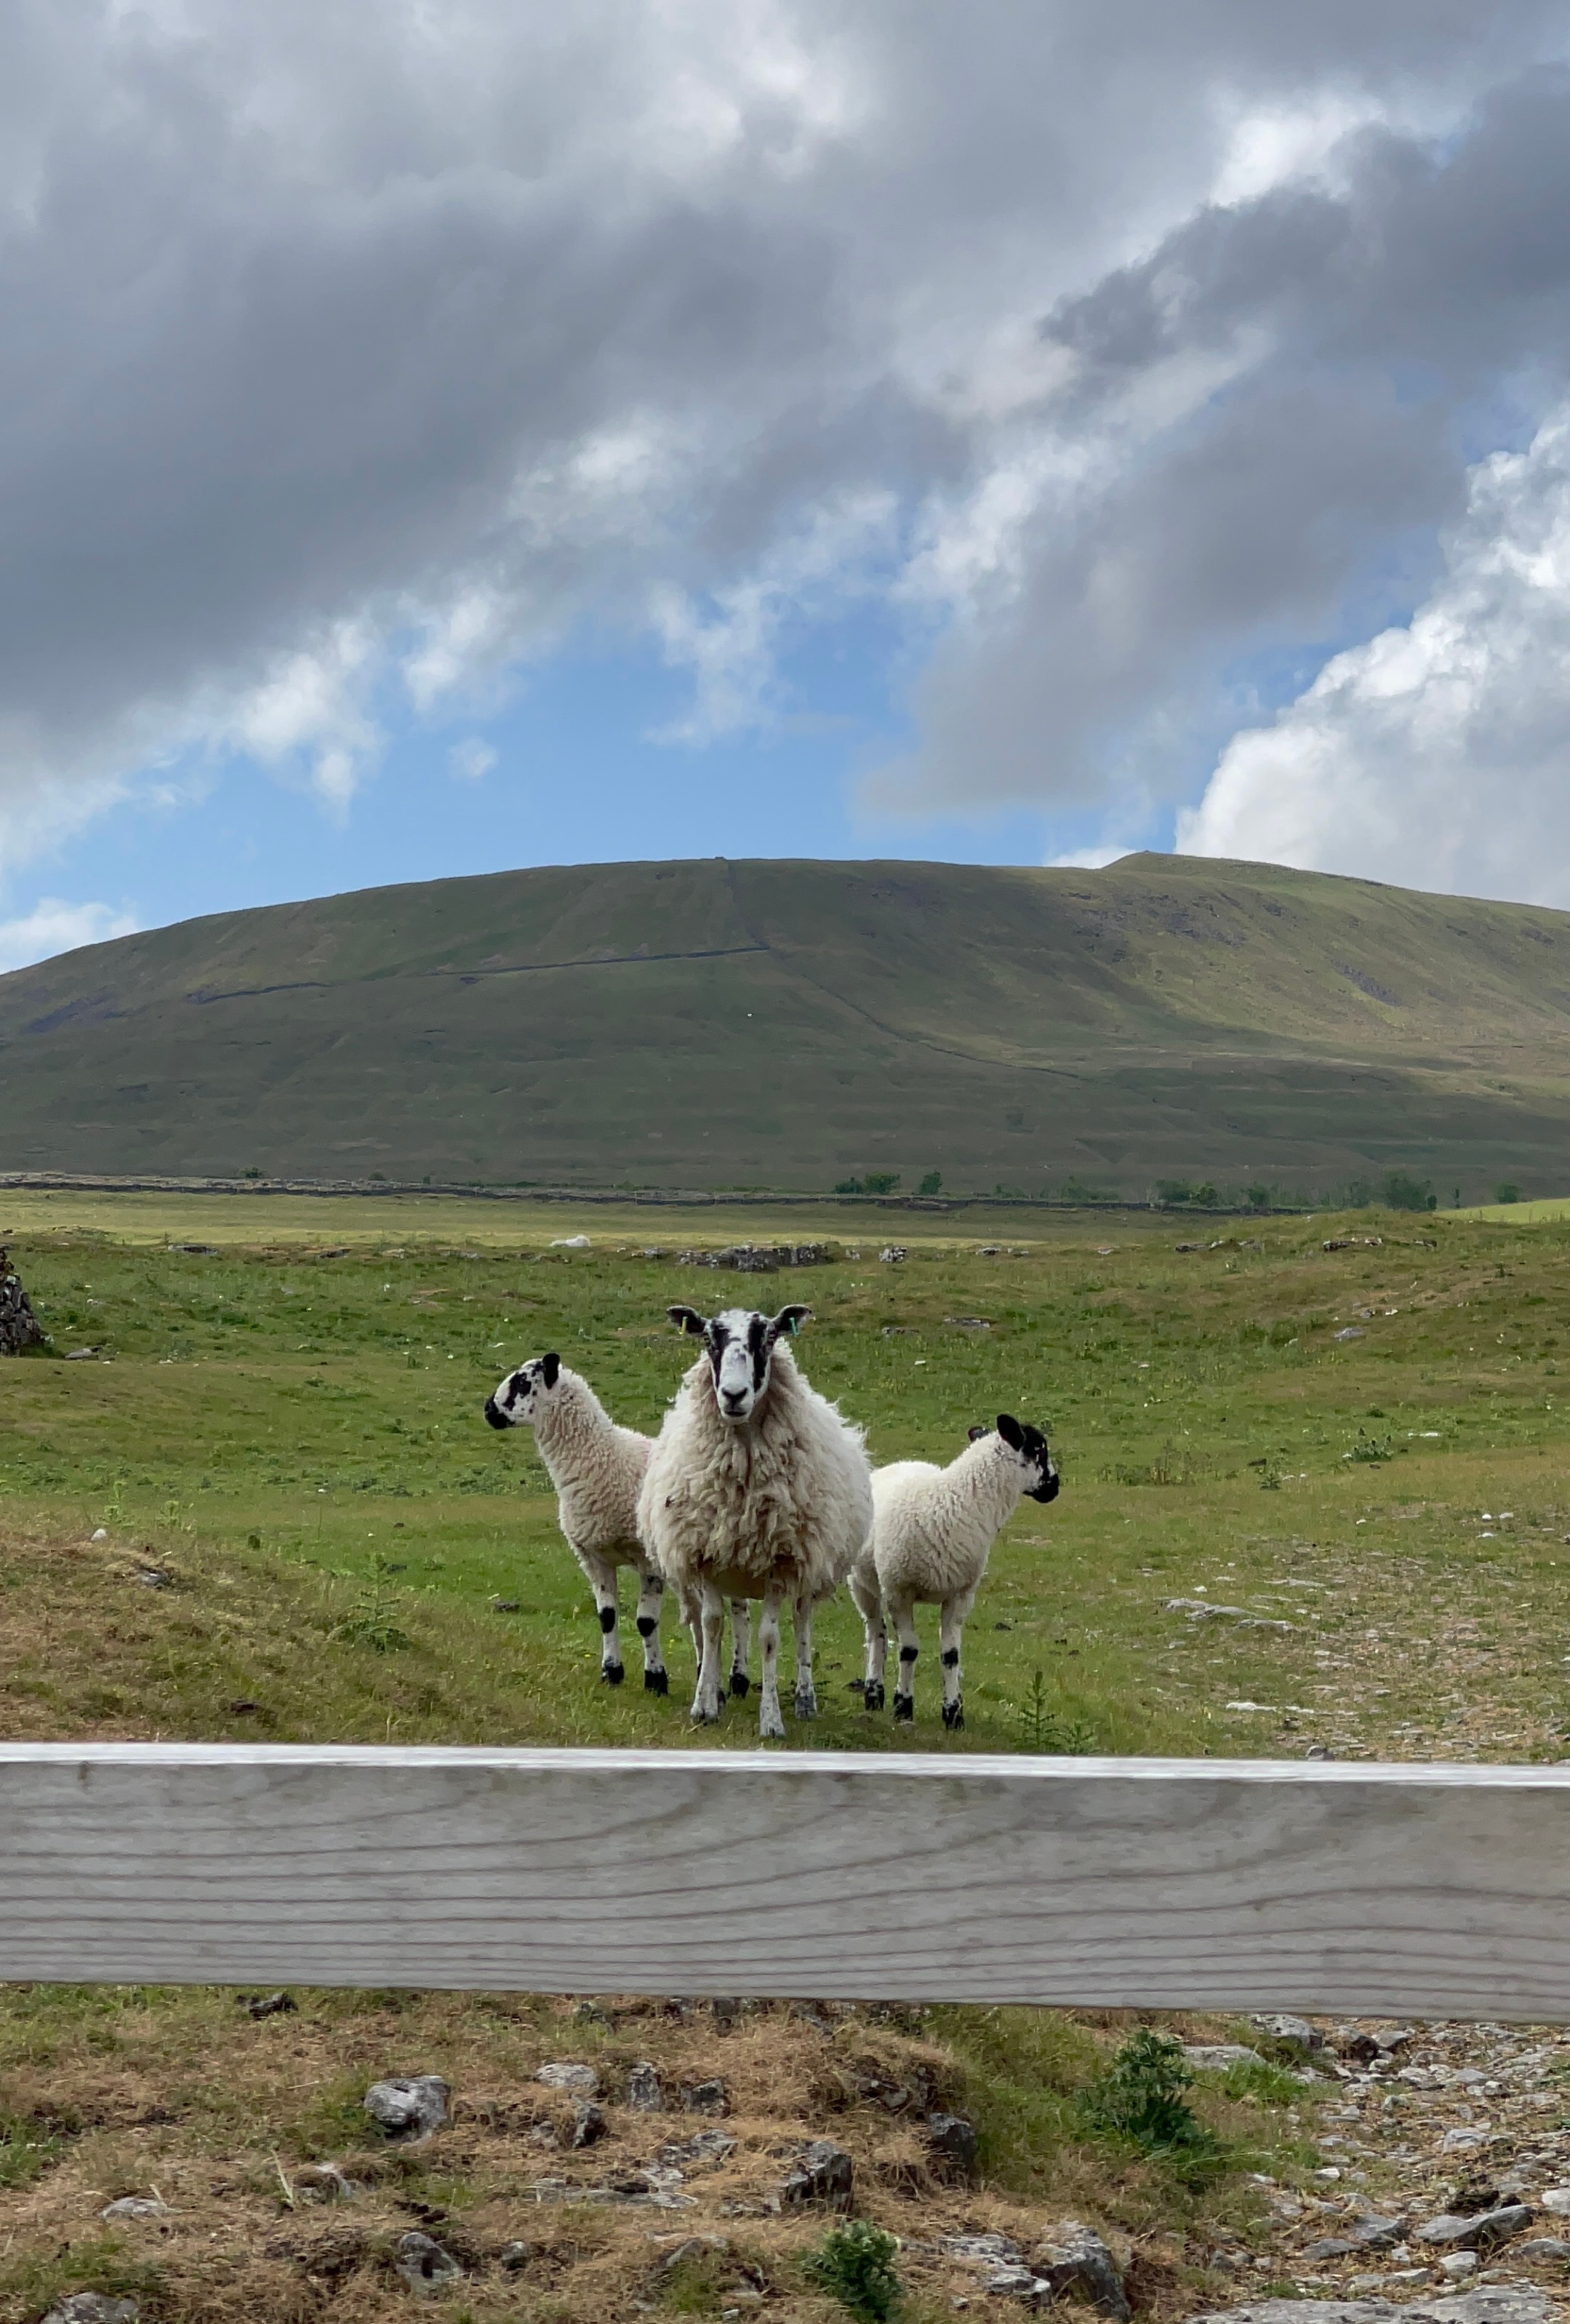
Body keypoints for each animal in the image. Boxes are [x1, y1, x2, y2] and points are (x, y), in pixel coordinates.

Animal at [483, 1352, 753, 1696]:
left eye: (521, 1382)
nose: (488, 1410)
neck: (601, 1458)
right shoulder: (592, 1556)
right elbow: (607, 1617)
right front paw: (611, 1672)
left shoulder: (646, 1558)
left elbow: (646, 1623)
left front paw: (655, 1679)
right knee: (697, 1614)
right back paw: (705, 1675)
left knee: (740, 1612)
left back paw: (738, 1680)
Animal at [638, 1303, 874, 1739]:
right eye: (707, 1338)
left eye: (769, 1337)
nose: (733, 1395)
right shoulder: (707, 1554)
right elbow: (712, 1625)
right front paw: (704, 1706)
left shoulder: (782, 1562)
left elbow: (769, 1638)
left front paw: (772, 1720)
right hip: (734, 1559)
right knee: (731, 1618)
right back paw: (725, 1684)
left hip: (808, 1567)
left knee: (801, 1623)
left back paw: (804, 1700)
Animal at [849, 1415, 1059, 1729]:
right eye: (1039, 1449)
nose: (1055, 1488)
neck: (956, 1501)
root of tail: (898, 1464)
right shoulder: (899, 1592)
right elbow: (908, 1650)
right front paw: (903, 1706)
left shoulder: (960, 1594)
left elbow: (950, 1656)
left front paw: (953, 1713)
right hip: (863, 1584)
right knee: (876, 1634)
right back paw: (874, 1693)